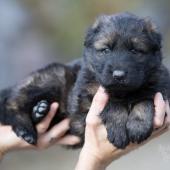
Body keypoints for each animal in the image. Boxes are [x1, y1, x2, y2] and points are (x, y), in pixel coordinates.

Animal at [0, 11, 170, 148]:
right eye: (106, 50)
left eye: (135, 51)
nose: (118, 75)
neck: (123, 93)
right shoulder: (85, 98)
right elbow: (112, 103)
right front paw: (118, 129)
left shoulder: (160, 88)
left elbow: (146, 100)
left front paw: (138, 125)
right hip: (53, 77)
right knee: (11, 103)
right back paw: (26, 129)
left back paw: (39, 111)